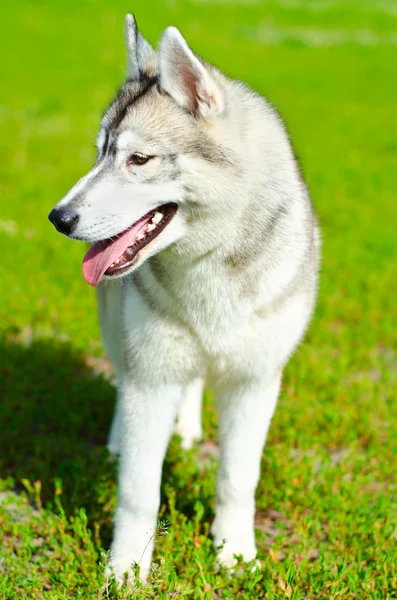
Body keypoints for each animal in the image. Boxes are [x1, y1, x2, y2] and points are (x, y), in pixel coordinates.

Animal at [48, 15, 318, 584]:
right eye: (99, 152)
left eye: (139, 159)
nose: (59, 218)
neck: (207, 266)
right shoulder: (152, 378)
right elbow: (138, 492)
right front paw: (126, 571)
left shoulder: (255, 381)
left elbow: (237, 479)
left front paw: (234, 554)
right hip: (119, 332)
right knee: (123, 377)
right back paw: (117, 441)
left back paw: (189, 429)